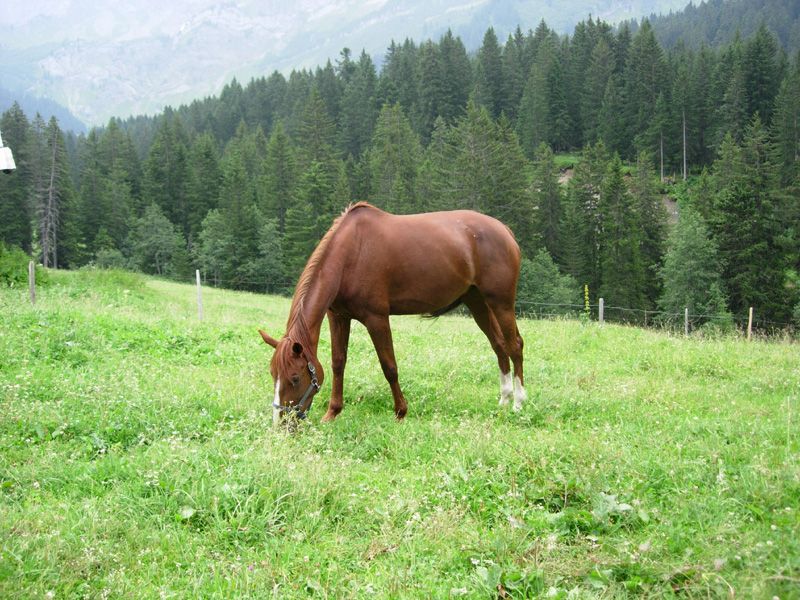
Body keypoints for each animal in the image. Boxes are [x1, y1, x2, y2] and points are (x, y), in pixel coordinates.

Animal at [259, 202, 526, 423]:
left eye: (295, 378)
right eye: (273, 374)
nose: (282, 423)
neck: (351, 253)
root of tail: (505, 230)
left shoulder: (376, 318)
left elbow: (389, 366)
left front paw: (400, 411)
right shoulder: (338, 317)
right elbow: (338, 363)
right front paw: (333, 412)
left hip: (501, 303)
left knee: (514, 345)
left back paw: (518, 403)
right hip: (478, 302)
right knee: (499, 345)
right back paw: (504, 399)